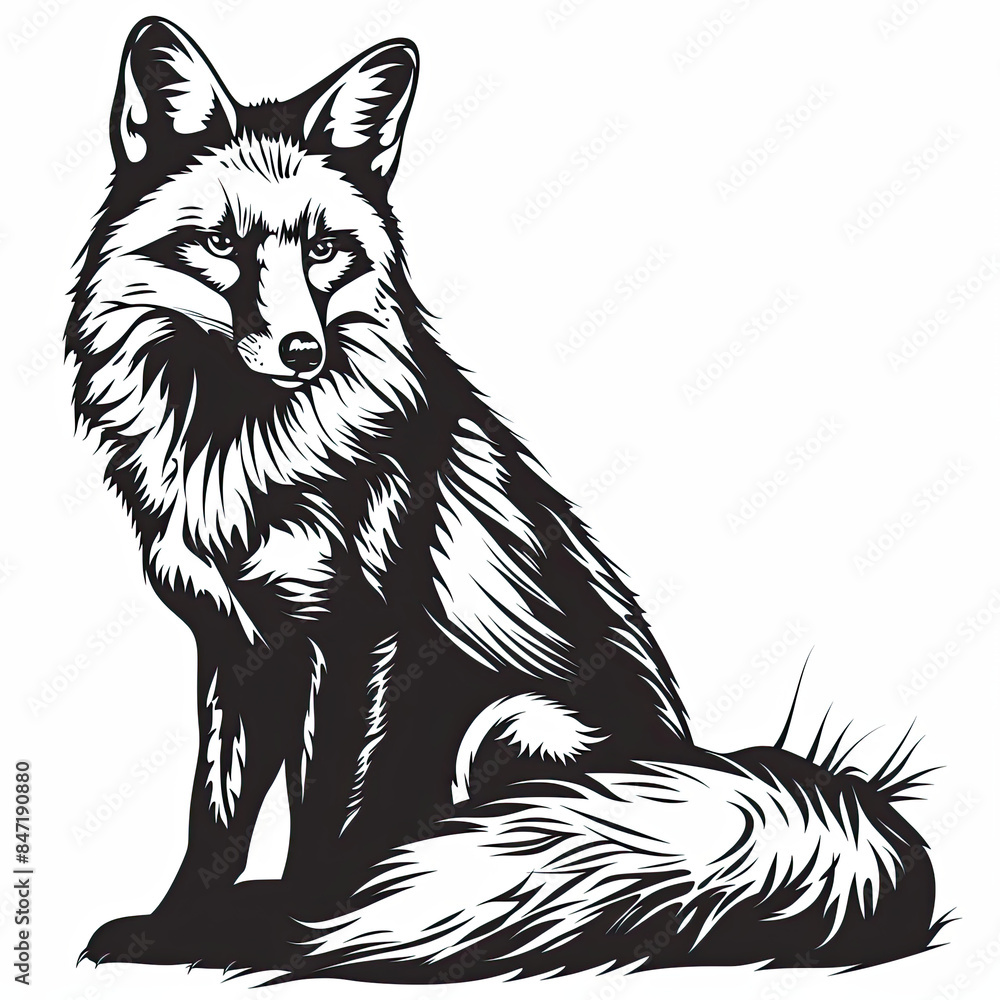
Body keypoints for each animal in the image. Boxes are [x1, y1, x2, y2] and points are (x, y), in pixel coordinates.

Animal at [68, 17, 944, 982]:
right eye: (222, 244)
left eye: (325, 249)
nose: (303, 349)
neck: (240, 459)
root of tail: (698, 771)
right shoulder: (238, 647)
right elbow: (214, 821)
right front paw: (174, 927)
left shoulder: (359, 635)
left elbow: (325, 812)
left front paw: (299, 929)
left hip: (508, 725)